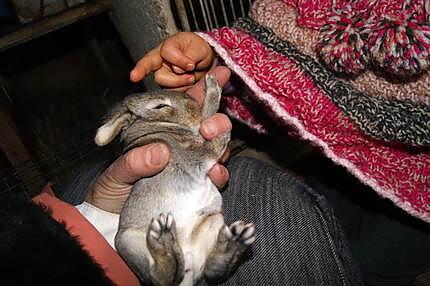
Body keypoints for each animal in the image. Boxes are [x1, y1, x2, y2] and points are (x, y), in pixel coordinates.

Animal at [94, 75, 255, 286]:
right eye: (160, 106)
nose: (194, 109)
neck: (160, 127)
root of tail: (188, 271)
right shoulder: (193, 156)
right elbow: (208, 142)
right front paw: (213, 90)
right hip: (127, 240)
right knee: (162, 277)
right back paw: (163, 237)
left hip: (213, 221)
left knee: (213, 271)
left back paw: (235, 240)